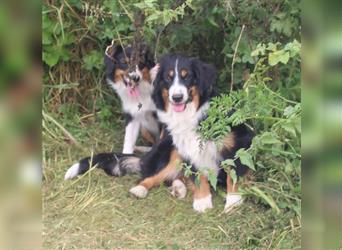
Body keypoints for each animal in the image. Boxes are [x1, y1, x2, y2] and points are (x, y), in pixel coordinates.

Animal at [130, 54, 252, 213]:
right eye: (168, 78)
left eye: (187, 76)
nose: (177, 97)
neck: (189, 114)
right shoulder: (187, 147)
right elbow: (197, 174)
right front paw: (202, 201)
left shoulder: (237, 143)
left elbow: (233, 173)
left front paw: (233, 201)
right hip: (172, 151)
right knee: (156, 175)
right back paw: (140, 189)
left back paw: (178, 188)